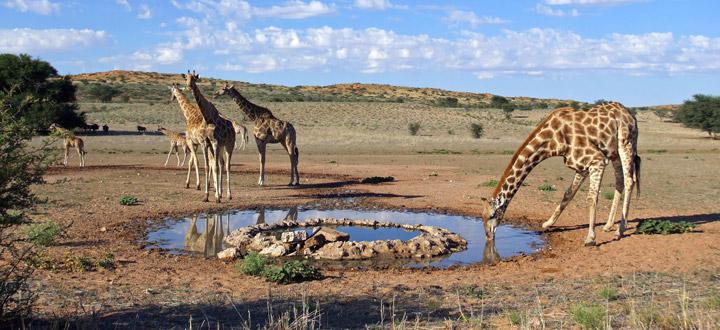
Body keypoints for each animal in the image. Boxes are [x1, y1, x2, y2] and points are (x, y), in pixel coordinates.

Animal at [180, 69, 236, 201]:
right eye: (186, 78)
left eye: (194, 78)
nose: (189, 86)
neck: (207, 117)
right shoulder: (206, 143)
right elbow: (207, 166)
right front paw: (206, 196)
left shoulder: (215, 142)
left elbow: (214, 166)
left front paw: (217, 197)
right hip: (220, 146)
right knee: (221, 163)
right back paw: (221, 192)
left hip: (229, 145)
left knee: (227, 166)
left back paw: (228, 195)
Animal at [478, 102, 640, 246]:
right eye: (482, 216)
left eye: (492, 215)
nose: (488, 236)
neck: (552, 141)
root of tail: (631, 115)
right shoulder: (580, 166)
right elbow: (568, 194)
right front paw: (547, 223)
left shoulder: (597, 160)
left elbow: (591, 198)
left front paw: (590, 238)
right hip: (613, 152)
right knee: (619, 181)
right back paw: (608, 225)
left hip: (626, 142)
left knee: (629, 181)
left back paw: (620, 230)